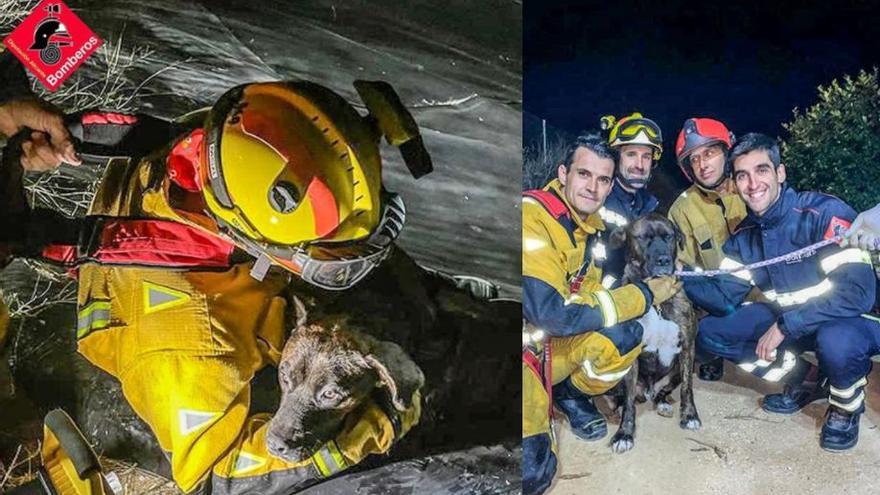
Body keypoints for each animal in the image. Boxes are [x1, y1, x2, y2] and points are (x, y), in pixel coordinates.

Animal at [604, 213, 700, 454]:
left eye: (669, 237)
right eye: (643, 238)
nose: (664, 260)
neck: (657, 302)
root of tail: (646, 392)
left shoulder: (688, 347)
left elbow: (688, 389)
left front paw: (689, 415)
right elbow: (629, 403)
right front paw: (624, 434)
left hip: (675, 371)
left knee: (663, 392)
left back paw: (662, 402)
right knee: (621, 397)